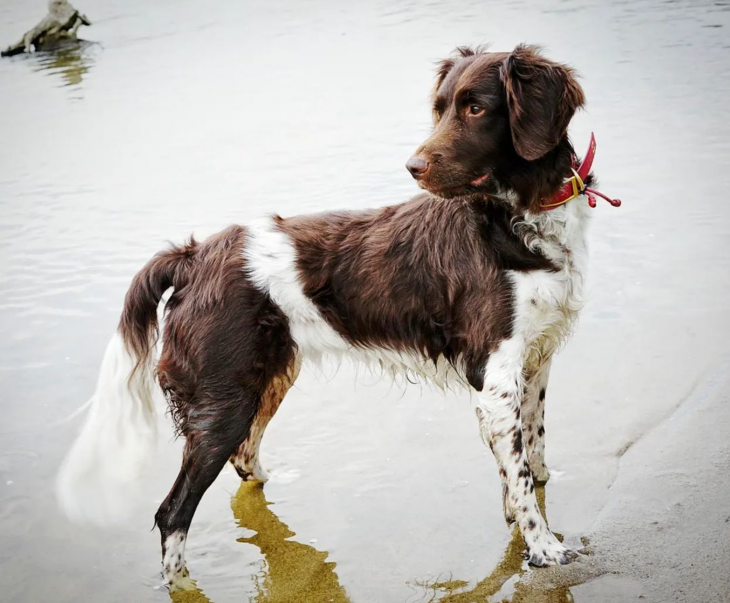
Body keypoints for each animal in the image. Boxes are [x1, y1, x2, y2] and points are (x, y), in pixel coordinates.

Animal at [57, 44, 616, 592]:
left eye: (475, 108)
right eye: (440, 109)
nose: (412, 166)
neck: (520, 217)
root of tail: (194, 257)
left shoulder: (534, 360)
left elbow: (530, 453)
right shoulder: (495, 373)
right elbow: (520, 479)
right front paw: (543, 550)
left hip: (270, 378)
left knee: (243, 457)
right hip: (224, 401)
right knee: (172, 512)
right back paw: (184, 585)